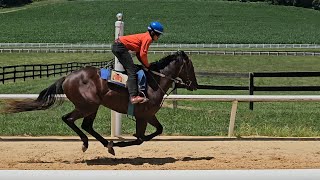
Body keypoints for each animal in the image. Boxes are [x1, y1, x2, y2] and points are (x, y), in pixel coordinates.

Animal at [2, 50, 198, 155]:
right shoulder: (143, 116)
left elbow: (157, 131)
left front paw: (117, 143)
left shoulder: (149, 115)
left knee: (86, 125)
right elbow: (140, 139)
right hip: (87, 105)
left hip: (92, 107)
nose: (194, 84)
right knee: (69, 119)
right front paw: (121, 143)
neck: (153, 82)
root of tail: (67, 77)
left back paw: (107, 144)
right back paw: (89, 143)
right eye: (191, 67)